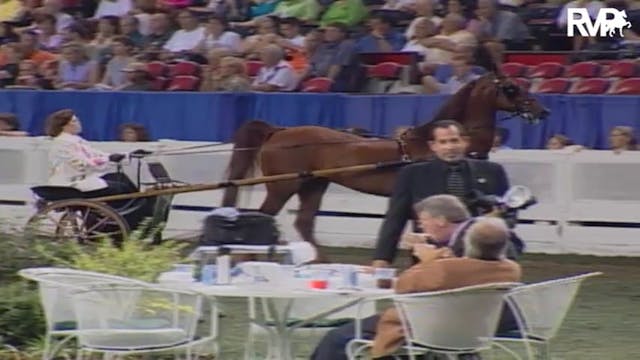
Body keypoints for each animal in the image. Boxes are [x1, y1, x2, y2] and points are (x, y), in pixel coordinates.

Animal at [221, 74, 552, 258]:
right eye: (511, 88)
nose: (542, 111)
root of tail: (279, 130)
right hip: (282, 186)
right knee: (264, 217)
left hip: (313, 184)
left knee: (304, 223)